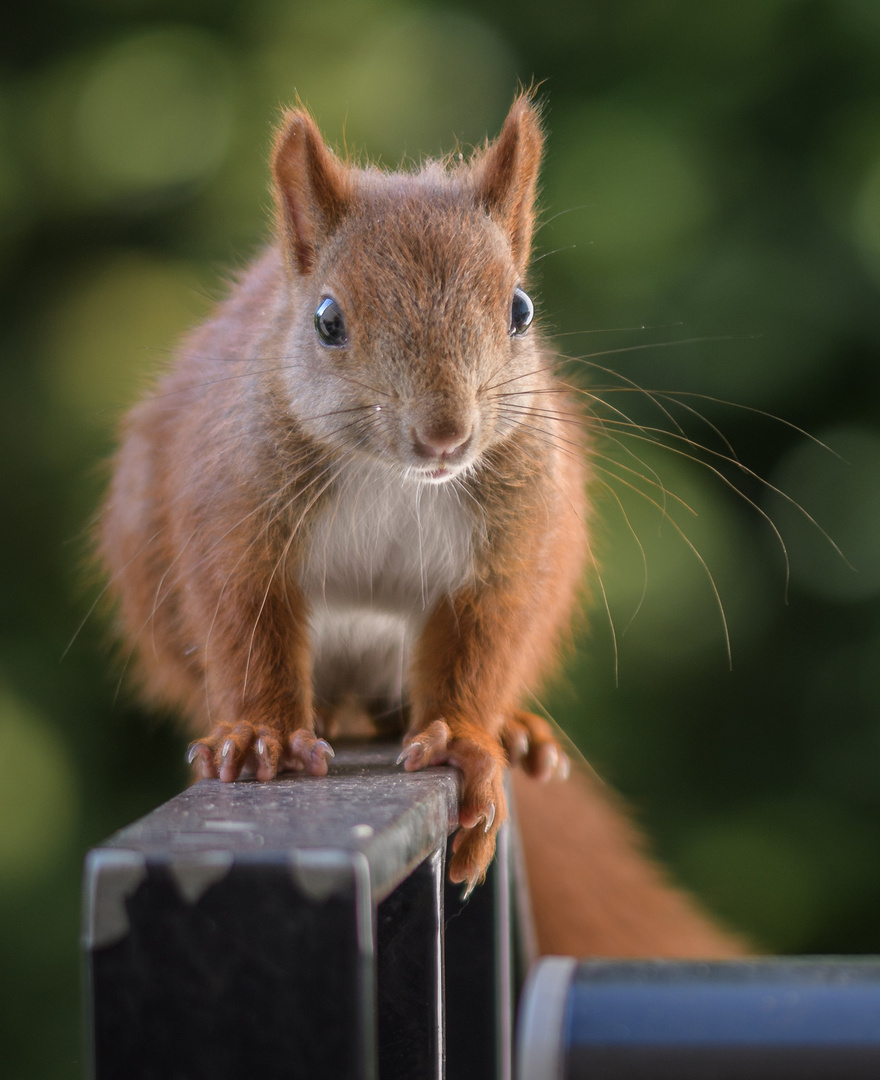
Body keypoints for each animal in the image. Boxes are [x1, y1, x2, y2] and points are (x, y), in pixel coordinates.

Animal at [99, 92, 747, 954]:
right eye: (327, 320)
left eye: (521, 309)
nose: (446, 435)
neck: (394, 479)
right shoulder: (234, 513)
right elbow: (246, 622)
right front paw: (263, 735)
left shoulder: (509, 547)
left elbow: (482, 640)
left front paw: (468, 744)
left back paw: (514, 731)